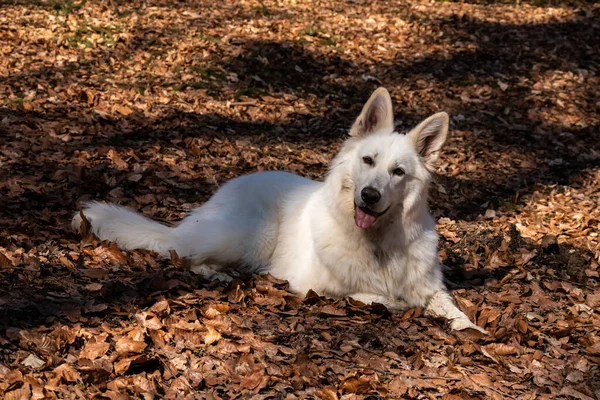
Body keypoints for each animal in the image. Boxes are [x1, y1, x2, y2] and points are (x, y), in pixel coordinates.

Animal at [74, 89, 488, 332]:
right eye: (368, 160)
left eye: (398, 172)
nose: (369, 195)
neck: (378, 244)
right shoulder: (312, 285)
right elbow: (368, 296)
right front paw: (392, 303)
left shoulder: (430, 288)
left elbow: (452, 309)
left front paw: (472, 331)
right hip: (248, 236)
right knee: (180, 253)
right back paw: (220, 274)